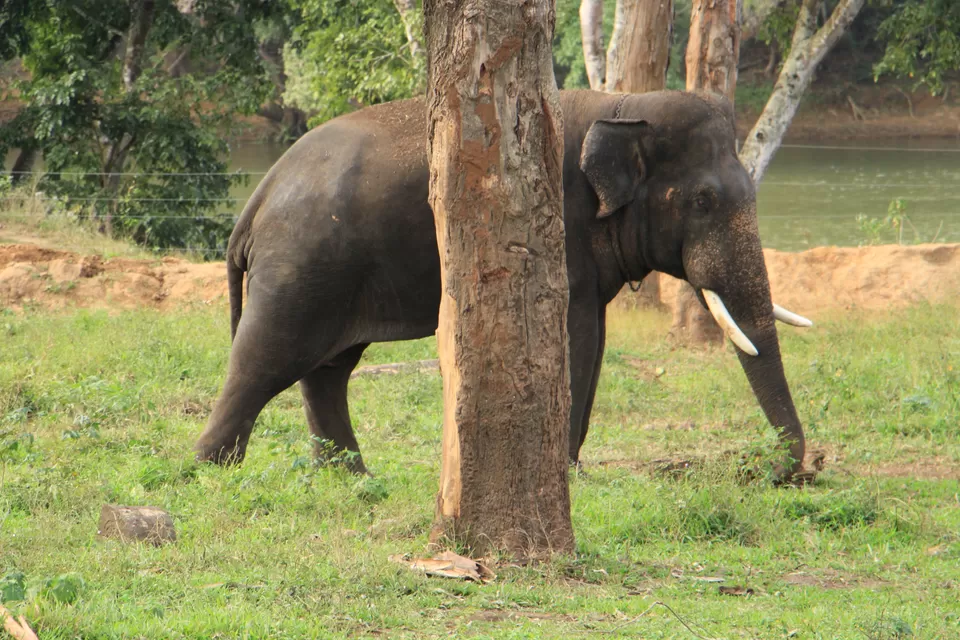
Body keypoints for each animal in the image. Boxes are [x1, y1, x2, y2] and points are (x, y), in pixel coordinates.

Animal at [193, 89, 813, 480]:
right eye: (703, 201)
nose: (778, 472)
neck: (625, 104)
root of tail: (258, 196)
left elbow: (595, 340)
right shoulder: (557, 229)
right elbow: (577, 339)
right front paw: (569, 475)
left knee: (327, 369)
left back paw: (351, 479)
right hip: (301, 263)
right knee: (266, 358)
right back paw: (211, 469)